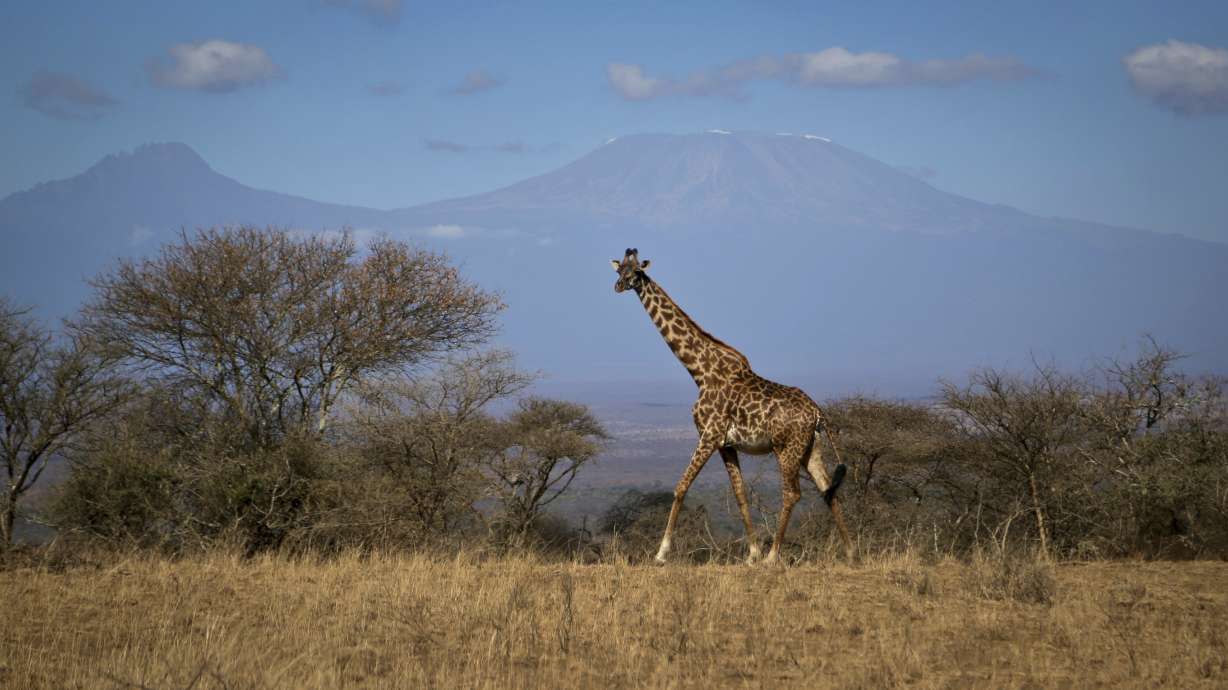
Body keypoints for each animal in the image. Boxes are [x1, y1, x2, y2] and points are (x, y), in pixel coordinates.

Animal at [611, 248, 852, 565]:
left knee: (792, 493)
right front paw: (751, 554)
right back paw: (851, 552)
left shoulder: (709, 434)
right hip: (810, 449)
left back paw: (773, 557)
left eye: (636, 272)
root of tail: (817, 413)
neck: (699, 370)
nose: (618, 286)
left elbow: (681, 487)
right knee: (827, 490)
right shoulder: (726, 444)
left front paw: (661, 553)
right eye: (619, 271)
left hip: (785, 449)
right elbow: (740, 495)